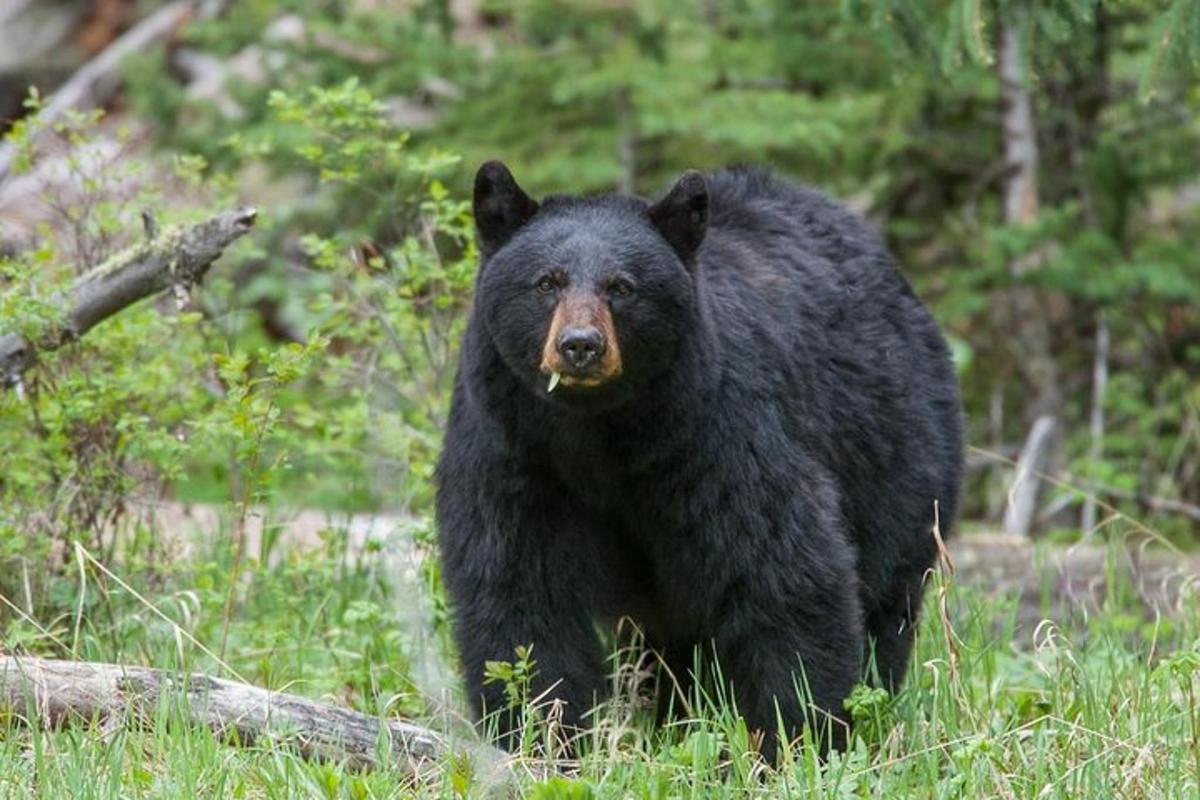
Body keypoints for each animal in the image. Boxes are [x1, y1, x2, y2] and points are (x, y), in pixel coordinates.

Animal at [436, 160, 960, 758]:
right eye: (547, 281)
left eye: (622, 286)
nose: (581, 345)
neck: (600, 433)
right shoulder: (513, 450)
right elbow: (518, 585)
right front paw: (541, 734)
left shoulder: (718, 434)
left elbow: (781, 571)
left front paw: (797, 734)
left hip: (895, 453)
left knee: (884, 594)